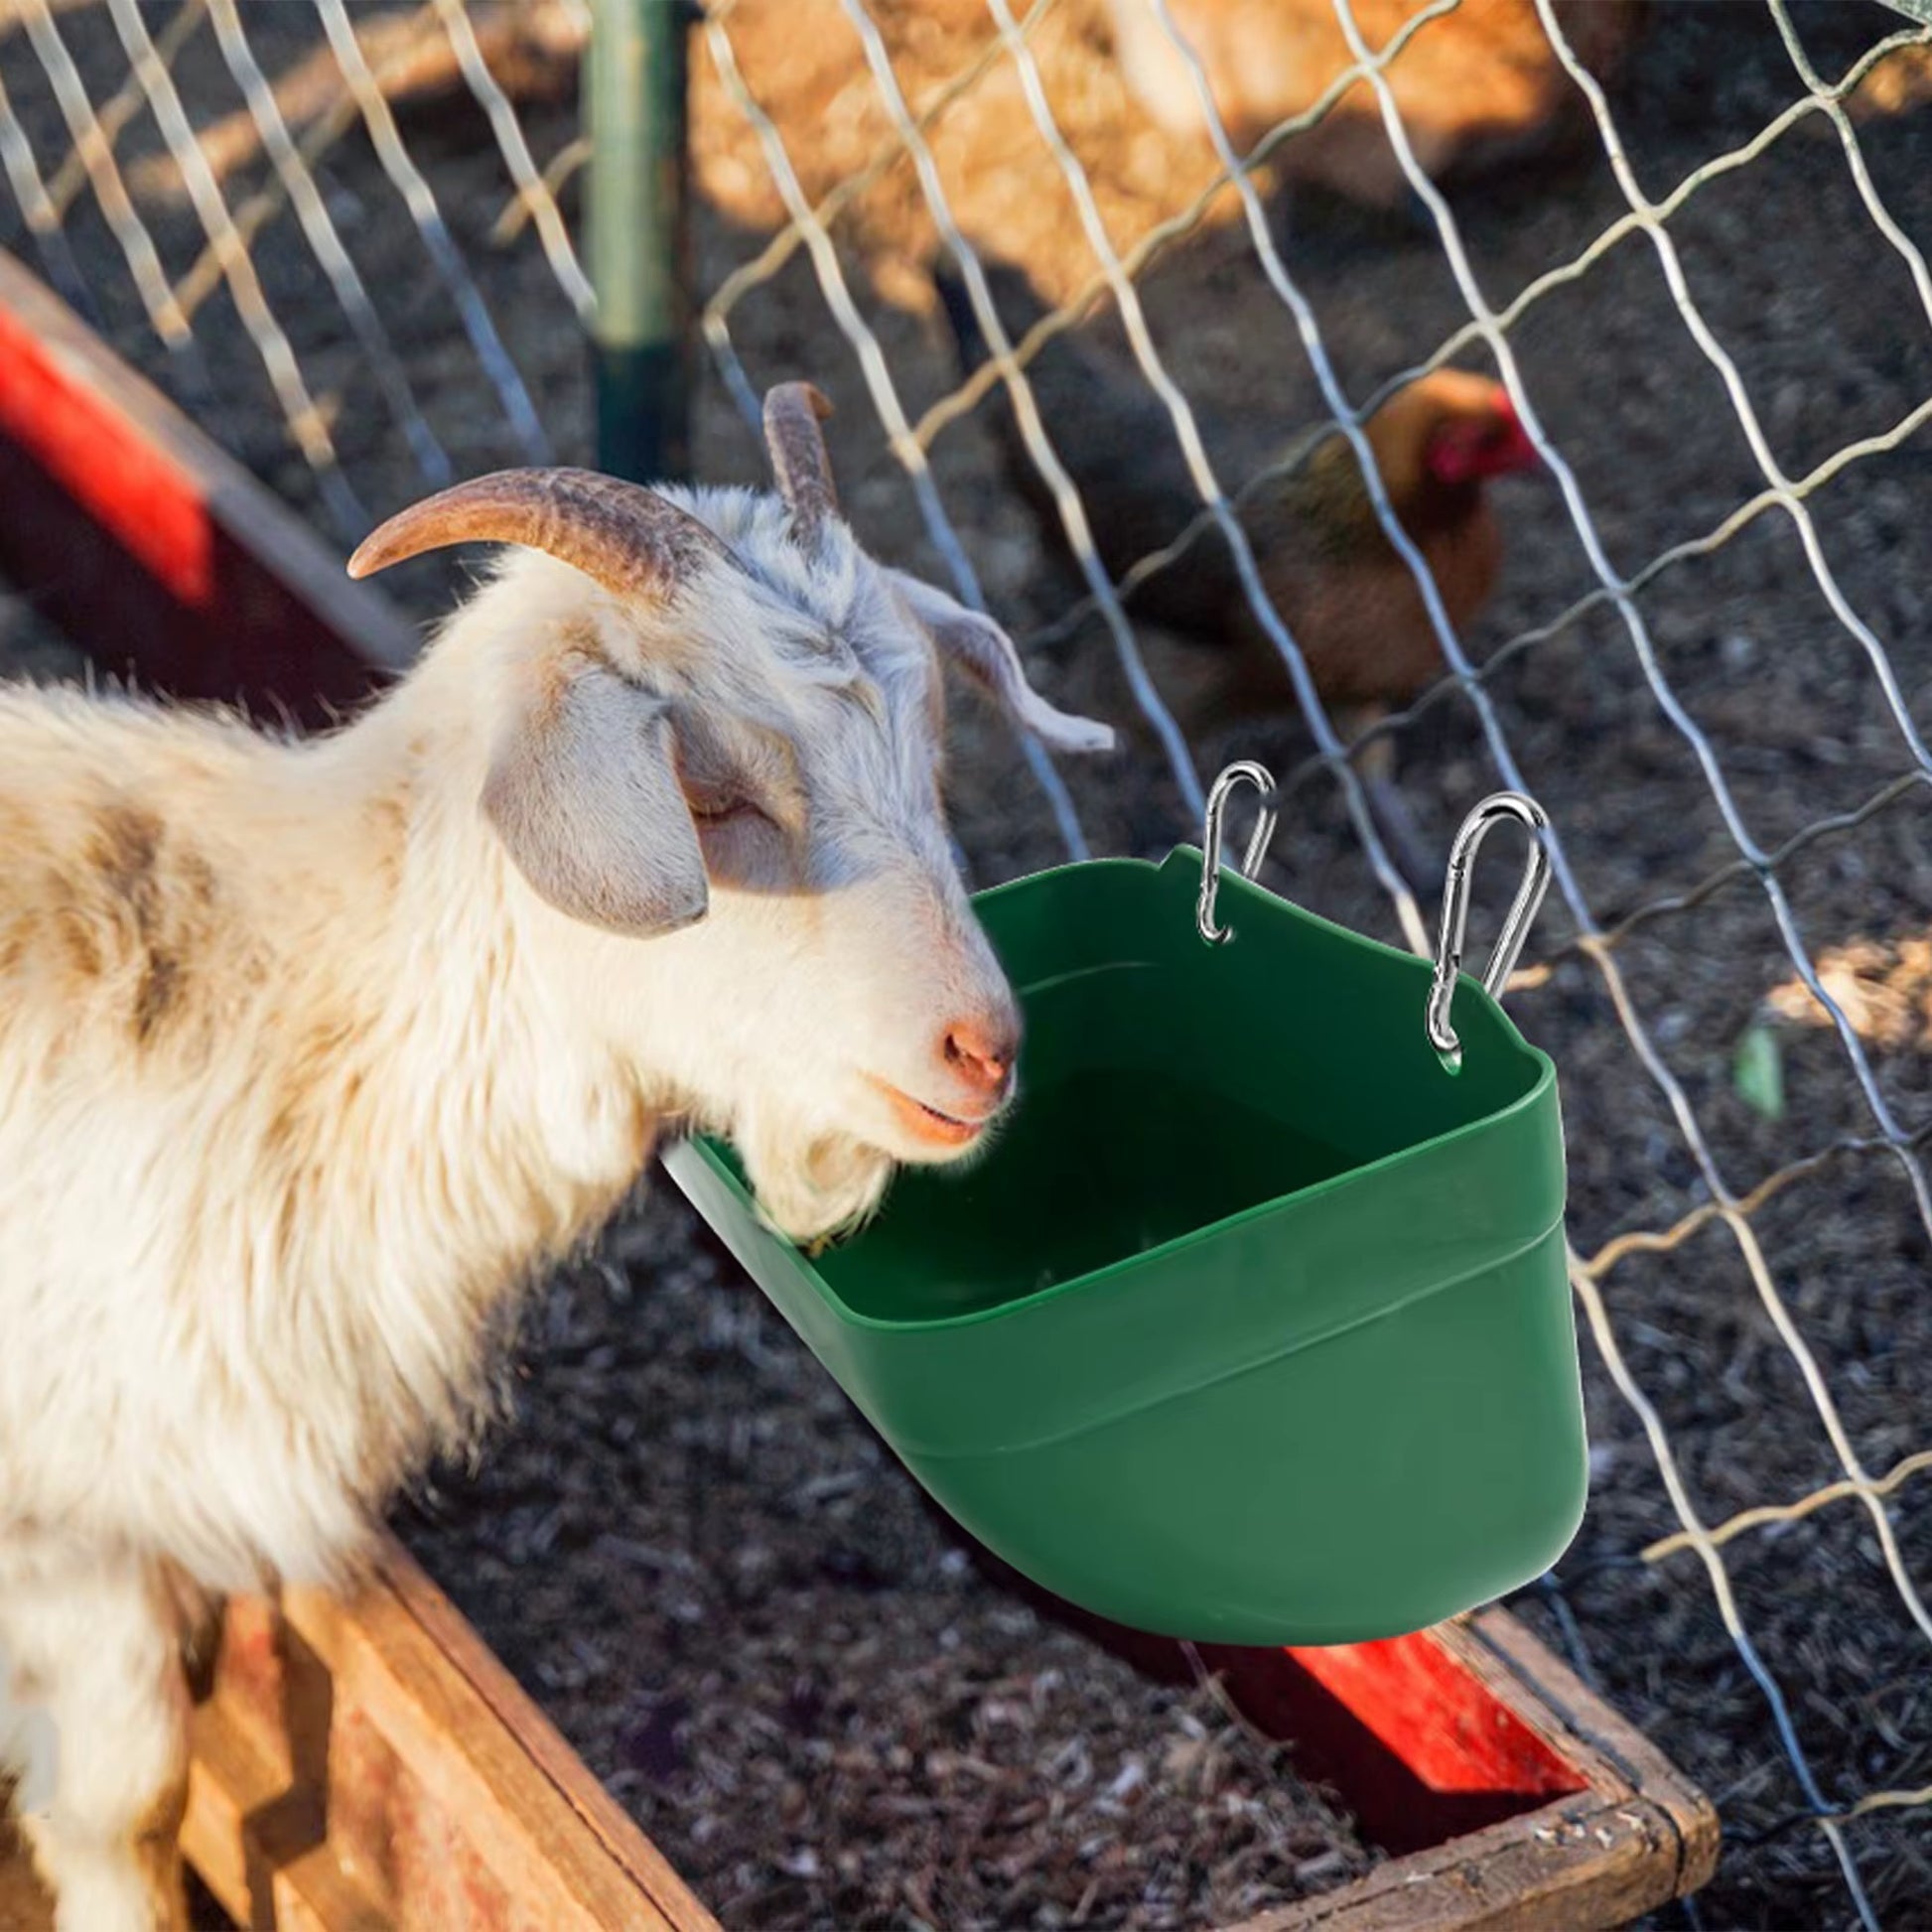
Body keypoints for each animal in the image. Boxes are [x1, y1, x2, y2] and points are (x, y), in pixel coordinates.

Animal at [0, 383, 1112, 1931]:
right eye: (712, 791)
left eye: (936, 748)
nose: (982, 1048)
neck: (254, 1007)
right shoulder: (70, 1524)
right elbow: (126, 1802)